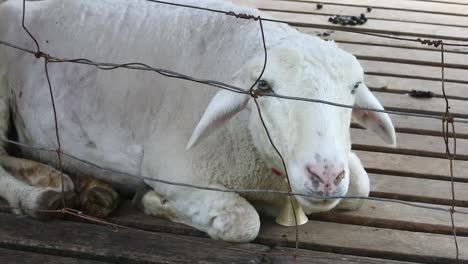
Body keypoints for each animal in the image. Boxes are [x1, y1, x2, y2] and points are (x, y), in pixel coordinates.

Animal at [0, 0, 394, 242]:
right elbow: (242, 222)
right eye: (263, 87)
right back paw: (39, 195)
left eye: (354, 86)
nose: (326, 177)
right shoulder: (172, 167)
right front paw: (154, 202)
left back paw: (79, 185)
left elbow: (361, 187)